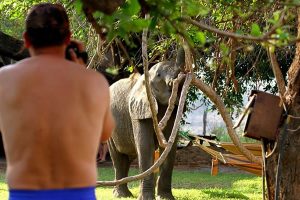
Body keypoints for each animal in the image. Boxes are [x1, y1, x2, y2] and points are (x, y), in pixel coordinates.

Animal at [108, 47, 185, 199]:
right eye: (159, 75)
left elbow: (170, 147)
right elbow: (146, 146)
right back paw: (121, 195)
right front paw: (146, 198)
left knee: (127, 158)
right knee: (118, 158)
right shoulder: (138, 110)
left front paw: (165, 198)